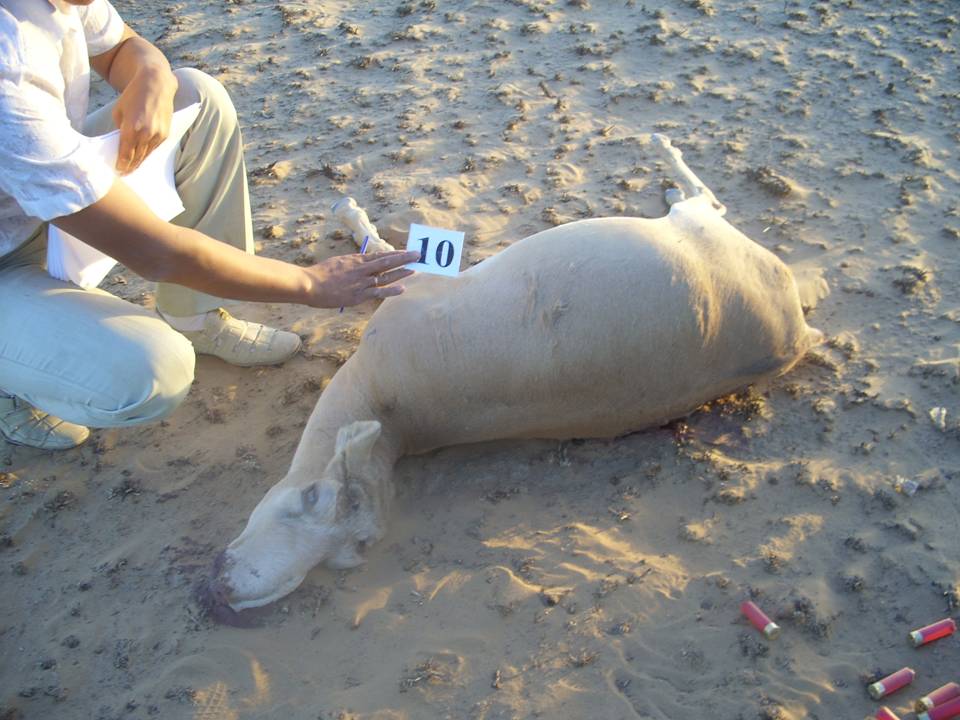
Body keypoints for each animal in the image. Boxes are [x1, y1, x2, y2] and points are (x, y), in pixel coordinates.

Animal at [202, 135, 824, 620]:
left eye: (311, 498)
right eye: (348, 552)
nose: (222, 592)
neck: (393, 413)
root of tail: (797, 329)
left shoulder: (414, 289)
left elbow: (378, 248)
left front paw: (347, 210)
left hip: (700, 230)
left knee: (705, 201)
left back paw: (667, 159)